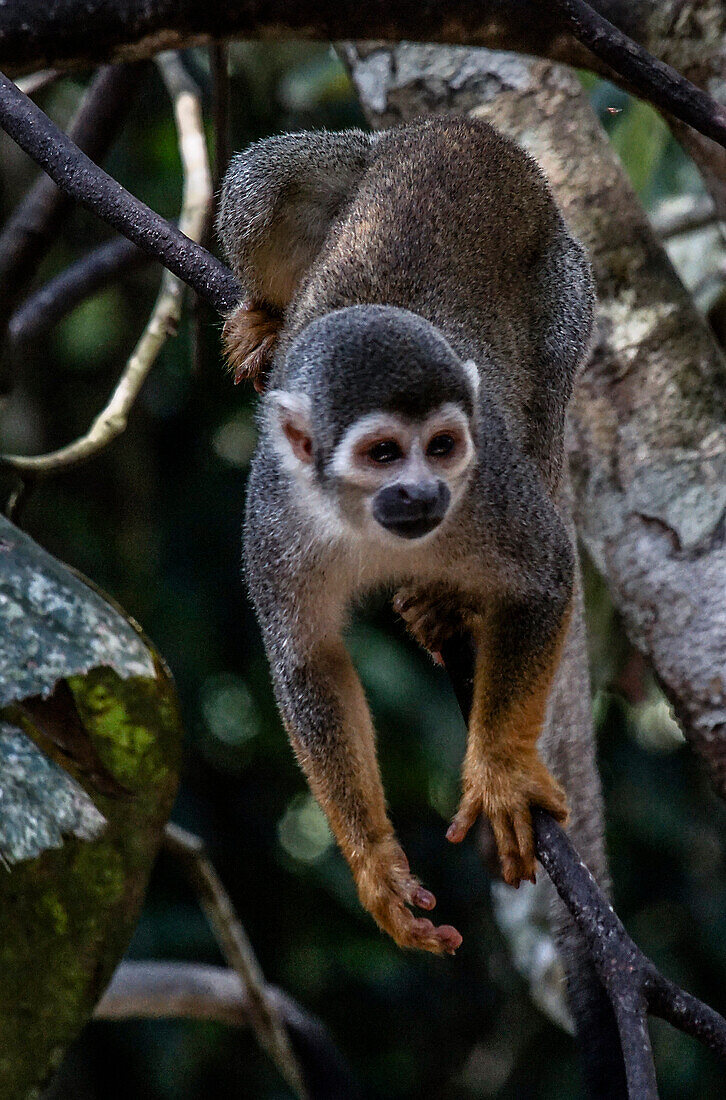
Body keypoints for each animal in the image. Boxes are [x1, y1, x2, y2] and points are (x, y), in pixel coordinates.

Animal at [216, 116, 594, 950]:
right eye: (384, 453)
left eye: (443, 446)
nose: (422, 492)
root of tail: (462, 129)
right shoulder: (271, 514)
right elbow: (309, 661)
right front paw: (374, 863)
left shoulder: (488, 481)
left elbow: (546, 576)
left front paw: (500, 772)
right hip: (354, 159)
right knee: (260, 187)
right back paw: (266, 318)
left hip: (565, 285)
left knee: (545, 409)